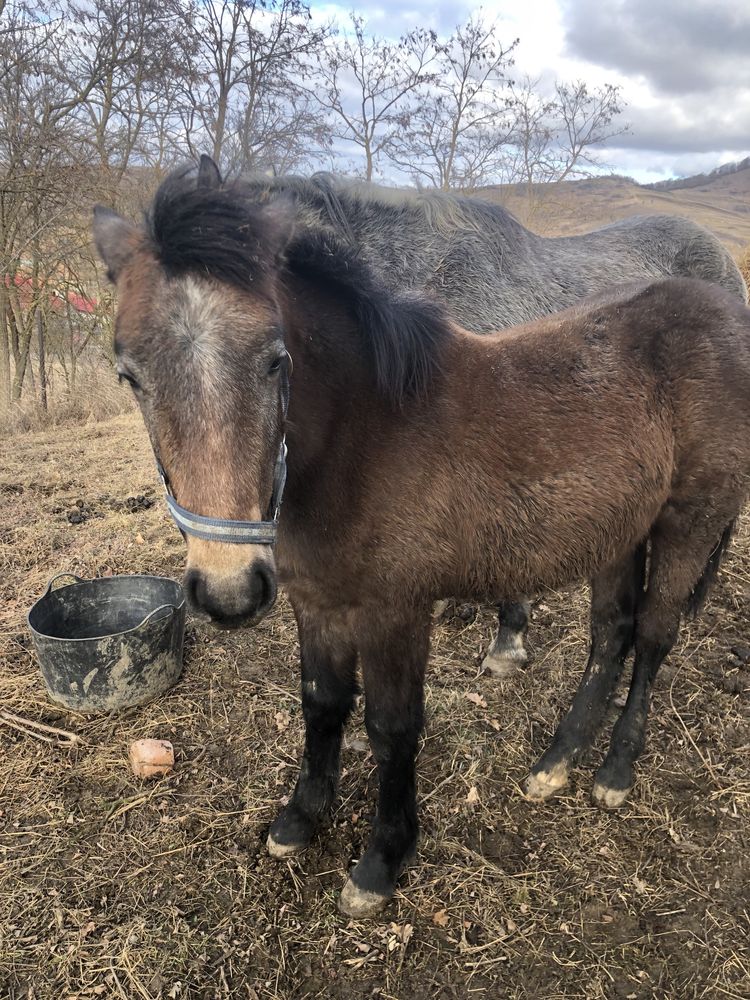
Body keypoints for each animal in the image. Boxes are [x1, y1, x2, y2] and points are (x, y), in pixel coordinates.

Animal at [94, 166, 750, 920]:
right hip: (617, 531)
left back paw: (614, 770)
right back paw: (556, 764)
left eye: (276, 360)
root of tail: (726, 309)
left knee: (652, 634)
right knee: (610, 634)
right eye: (128, 374)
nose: (229, 591)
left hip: (687, 522)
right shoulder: (315, 601)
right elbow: (321, 702)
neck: (363, 436)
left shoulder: (395, 610)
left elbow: (391, 726)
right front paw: (301, 818)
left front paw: (383, 859)